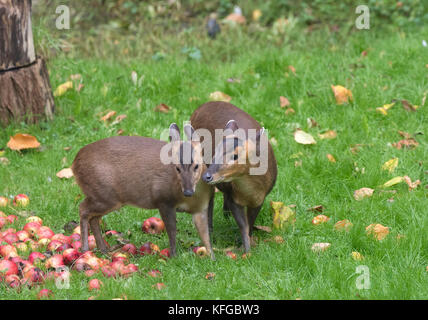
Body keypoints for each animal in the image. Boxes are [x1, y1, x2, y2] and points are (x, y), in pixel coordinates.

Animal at [72, 124, 217, 258]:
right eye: (177, 168)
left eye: (197, 166)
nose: (187, 192)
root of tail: (74, 163)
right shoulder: (163, 200)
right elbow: (172, 230)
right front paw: (174, 255)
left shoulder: (201, 208)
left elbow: (205, 235)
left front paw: (212, 257)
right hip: (104, 193)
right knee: (83, 209)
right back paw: (85, 249)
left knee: (93, 218)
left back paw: (104, 250)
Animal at [190, 102, 278, 252]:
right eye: (215, 153)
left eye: (235, 156)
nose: (207, 176)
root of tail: (198, 108)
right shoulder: (233, 197)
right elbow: (243, 224)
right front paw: (246, 249)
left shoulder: (259, 199)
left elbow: (250, 223)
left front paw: (246, 245)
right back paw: (210, 231)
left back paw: (226, 216)